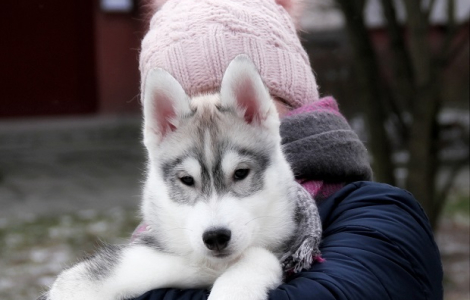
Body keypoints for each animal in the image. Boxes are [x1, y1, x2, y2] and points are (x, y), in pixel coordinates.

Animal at [43, 55, 302, 298]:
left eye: (240, 173)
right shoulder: (140, 259)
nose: (215, 237)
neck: (213, 266)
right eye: (187, 179)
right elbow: (79, 280)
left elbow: (259, 256)